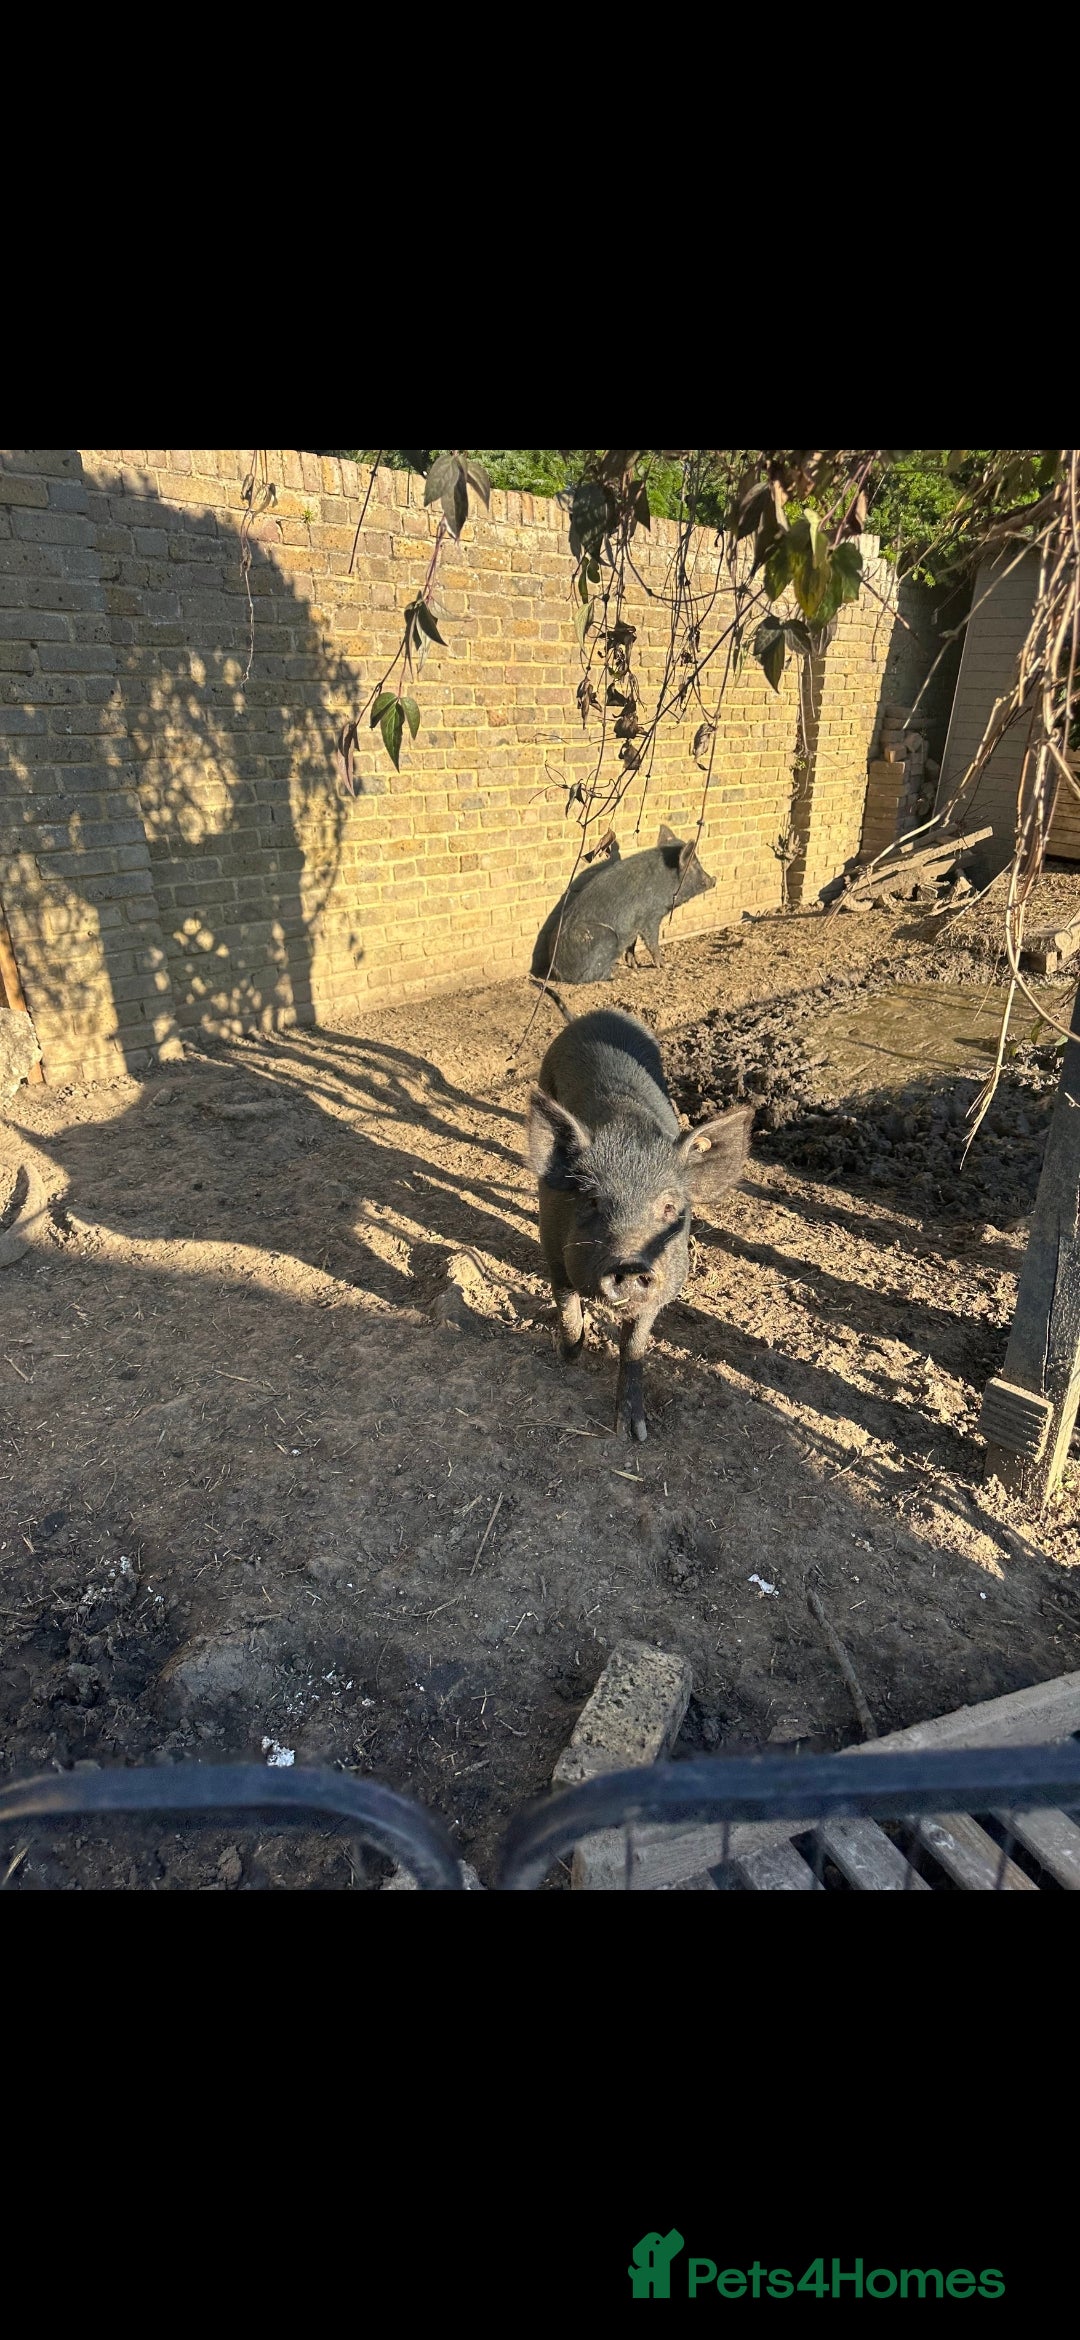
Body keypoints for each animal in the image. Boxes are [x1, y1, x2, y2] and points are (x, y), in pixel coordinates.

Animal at [527, 1008, 754, 1440]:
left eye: (668, 1206)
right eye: (592, 1201)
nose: (631, 1264)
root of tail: (599, 1013)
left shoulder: (664, 1284)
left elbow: (634, 1346)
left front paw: (633, 1433)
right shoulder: (551, 1245)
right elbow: (566, 1303)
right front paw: (568, 1354)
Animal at [531, 827, 716, 986]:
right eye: (695, 866)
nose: (714, 879)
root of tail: (555, 971)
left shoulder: (633, 925)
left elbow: (632, 944)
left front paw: (635, 964)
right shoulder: (650, 916)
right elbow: (652, 941)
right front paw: (666, 966)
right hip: (606, 937)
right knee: (592, 976)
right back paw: (621, 975)